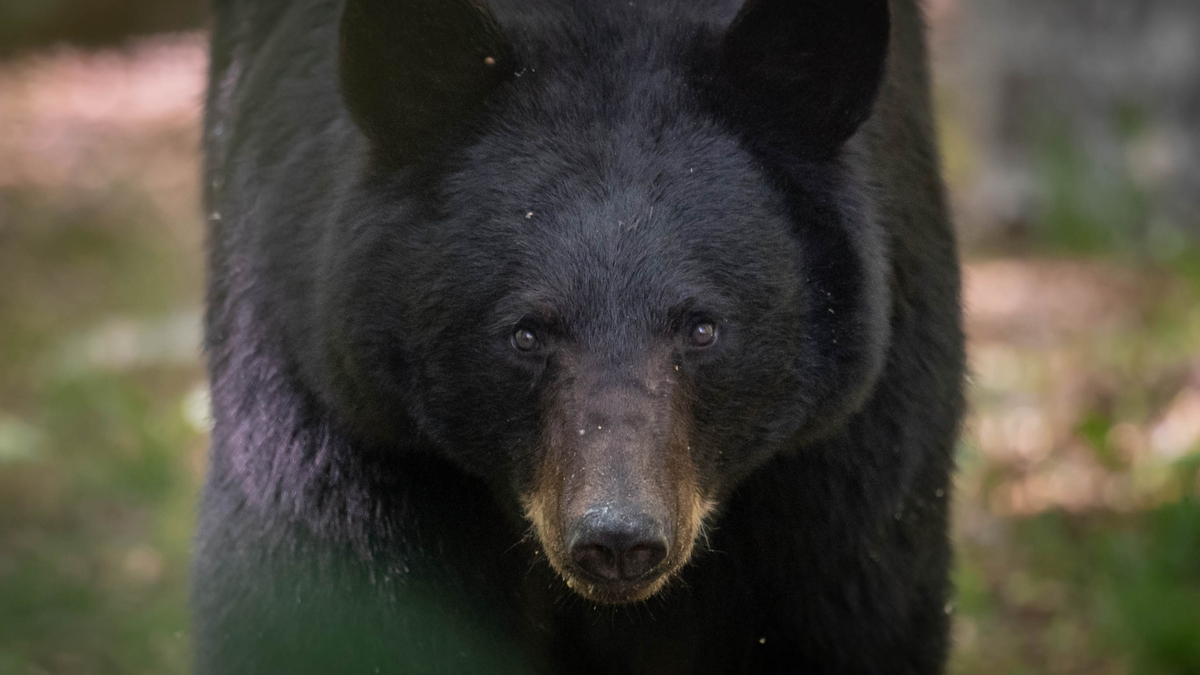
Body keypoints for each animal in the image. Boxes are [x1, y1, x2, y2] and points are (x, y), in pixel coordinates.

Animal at [194, 0, 965, 673]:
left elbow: (845, 607)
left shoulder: (839, 455)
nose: (618, 540)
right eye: (526, 334)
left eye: (703, 328)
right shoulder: (336, 395)